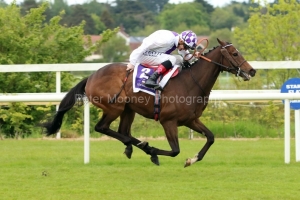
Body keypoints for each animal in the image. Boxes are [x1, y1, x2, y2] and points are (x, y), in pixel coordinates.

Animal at [43, 38, 256, 167]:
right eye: (235, 54)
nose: (252, 71)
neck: (189, 83)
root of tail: (91, 76)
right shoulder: (168, 121)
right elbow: (175, 150)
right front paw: (154, 151)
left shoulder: (191, 120)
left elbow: (210, 137)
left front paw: (192, 159)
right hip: (114, 107)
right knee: (102, 128)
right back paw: (143, 147)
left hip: (128, 109)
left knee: (123, 131)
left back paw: (133, 147)